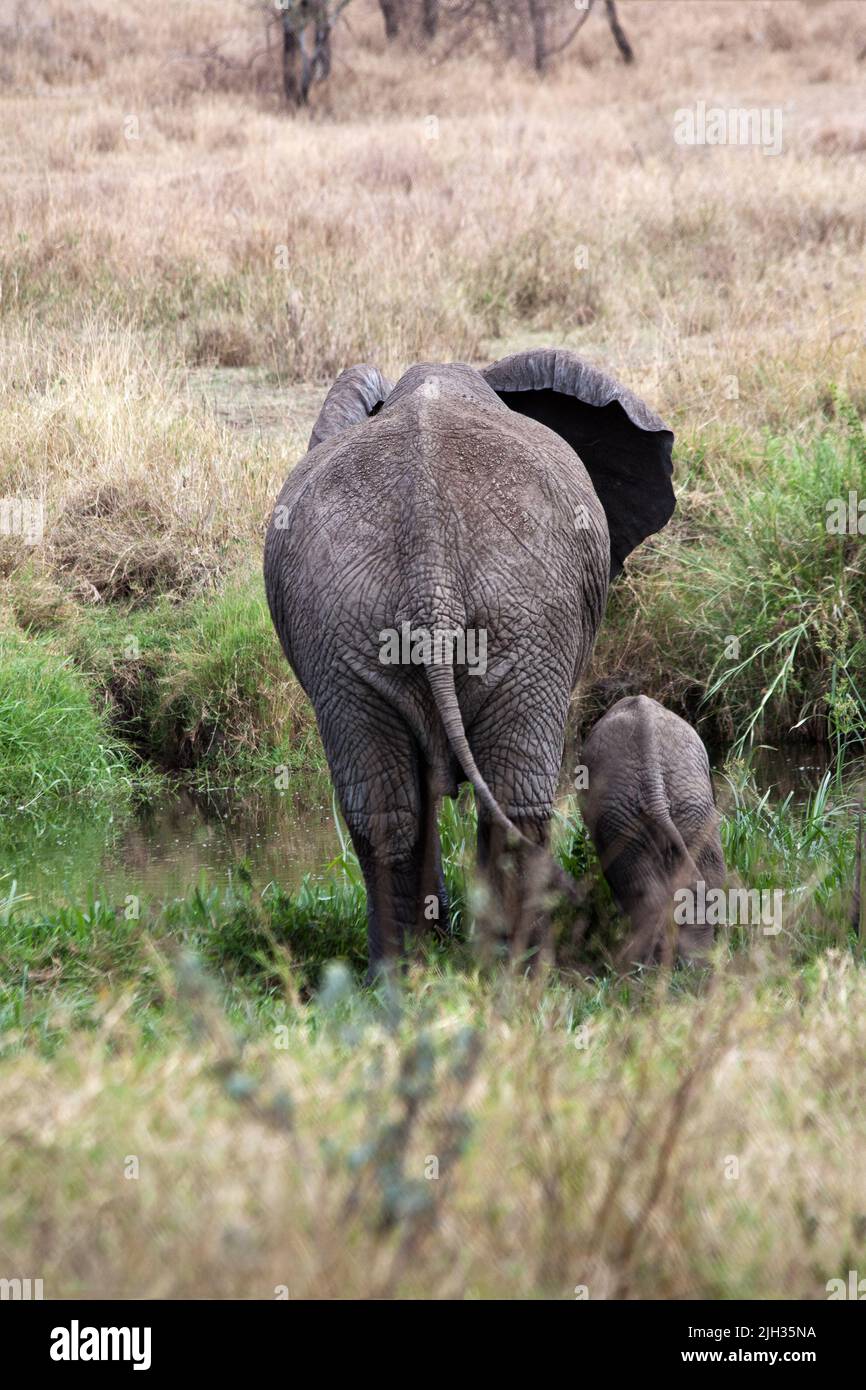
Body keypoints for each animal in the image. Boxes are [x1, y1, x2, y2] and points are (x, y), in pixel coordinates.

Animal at [264, 350, 678, 978]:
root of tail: (427, 547)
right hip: (528, 620)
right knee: (514, 803)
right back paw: (518, 969)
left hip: (341, 627)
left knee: (387, 813)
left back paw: (397, 978)